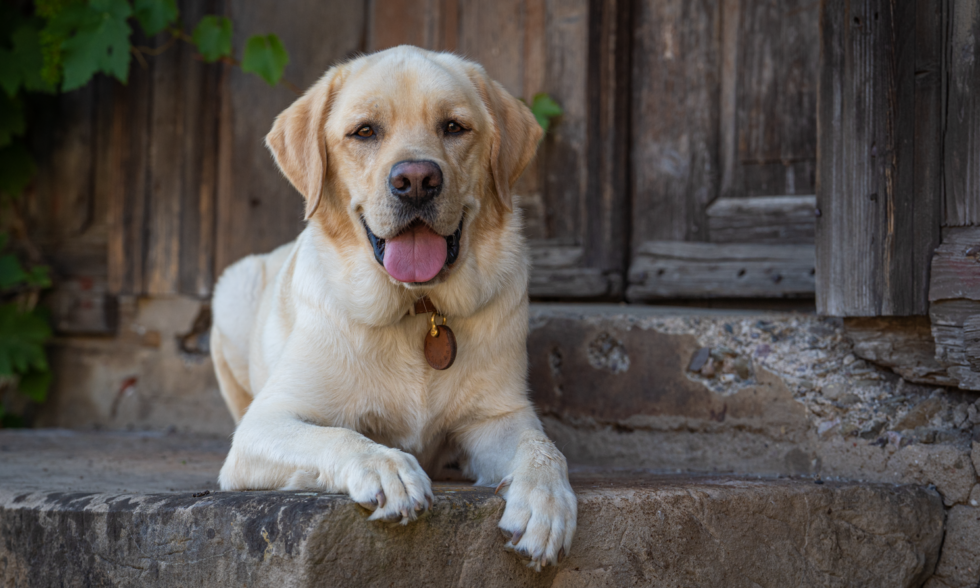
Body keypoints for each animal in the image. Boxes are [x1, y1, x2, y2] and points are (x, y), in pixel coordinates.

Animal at [209, 44, 576, 568]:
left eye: (453, 127)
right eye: (365, 131)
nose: (417, 179)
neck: (417, 310)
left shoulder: (498, 416)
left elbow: (542, 447)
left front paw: (546, 504)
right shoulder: (265, 425)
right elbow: (339, 435)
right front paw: (388, 468)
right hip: (232, 288)